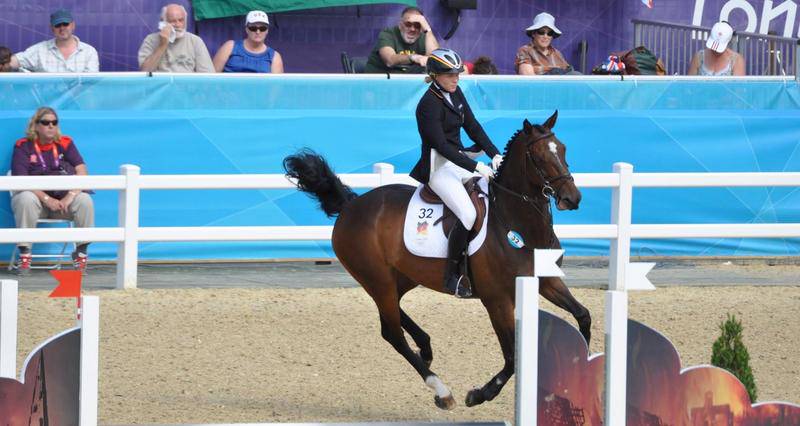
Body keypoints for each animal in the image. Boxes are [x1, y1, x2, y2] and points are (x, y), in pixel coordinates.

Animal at [283, 110, 591, 410]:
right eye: (538, 157)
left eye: (562, 148)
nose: (572, 198)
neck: (515, 221)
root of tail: (350, 205)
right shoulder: (497, 300)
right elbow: (513, 357)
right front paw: (479, 395)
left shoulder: (547, 282)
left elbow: (582, 316)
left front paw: (581, 365)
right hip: (377, 279)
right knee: (392, 332)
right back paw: (441, 390)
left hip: (401, 277)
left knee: (394, 315)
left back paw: (426, 347)